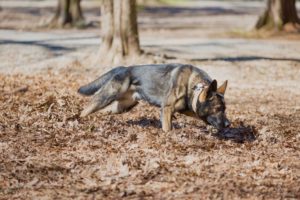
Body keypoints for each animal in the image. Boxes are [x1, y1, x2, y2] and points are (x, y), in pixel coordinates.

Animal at [78, 63, 231, 131]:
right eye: (218, 108)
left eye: (224, 109)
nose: (228, 124)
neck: (192, 86)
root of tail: (124, 68)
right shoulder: (167, 109)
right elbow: (168, 129)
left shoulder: (187, 109)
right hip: (106, 97)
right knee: (85, 109)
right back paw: (78, 121)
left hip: (121, 107)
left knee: (101, 111)